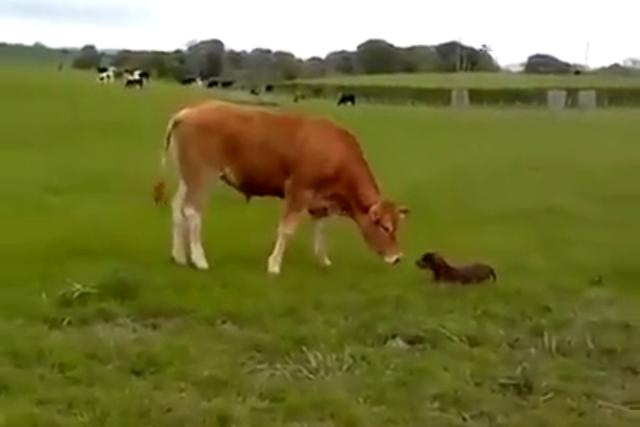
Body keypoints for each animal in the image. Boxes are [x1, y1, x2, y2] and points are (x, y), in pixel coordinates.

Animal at [152, 99, 408, 274]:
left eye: (397, 226)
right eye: (385, 227)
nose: (397, 257)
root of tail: (190, 110)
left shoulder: (320, 201)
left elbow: (322, 229)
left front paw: (323, 260)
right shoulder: (298, 190)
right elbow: (286, 229)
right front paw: (274, 265)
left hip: (188, 176)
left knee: (177, 208)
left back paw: (179, 256)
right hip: (202, 175)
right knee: (192, 211)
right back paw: (199, 260)